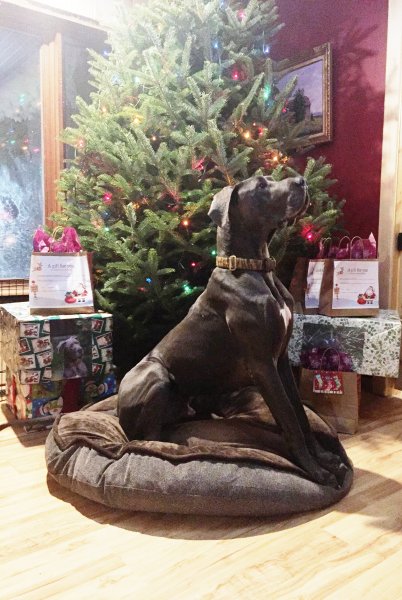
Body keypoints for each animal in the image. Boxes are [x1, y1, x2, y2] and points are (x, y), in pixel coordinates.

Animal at [118, 176, 347, 488]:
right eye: (261, 186)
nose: (302, 180)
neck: (255, 268)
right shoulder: (262, 365)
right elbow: (289, 419)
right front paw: (316, 471)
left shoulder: (280, 360)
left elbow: (300, 414)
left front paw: (324, 458)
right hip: (156, 373)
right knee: (148, 439)